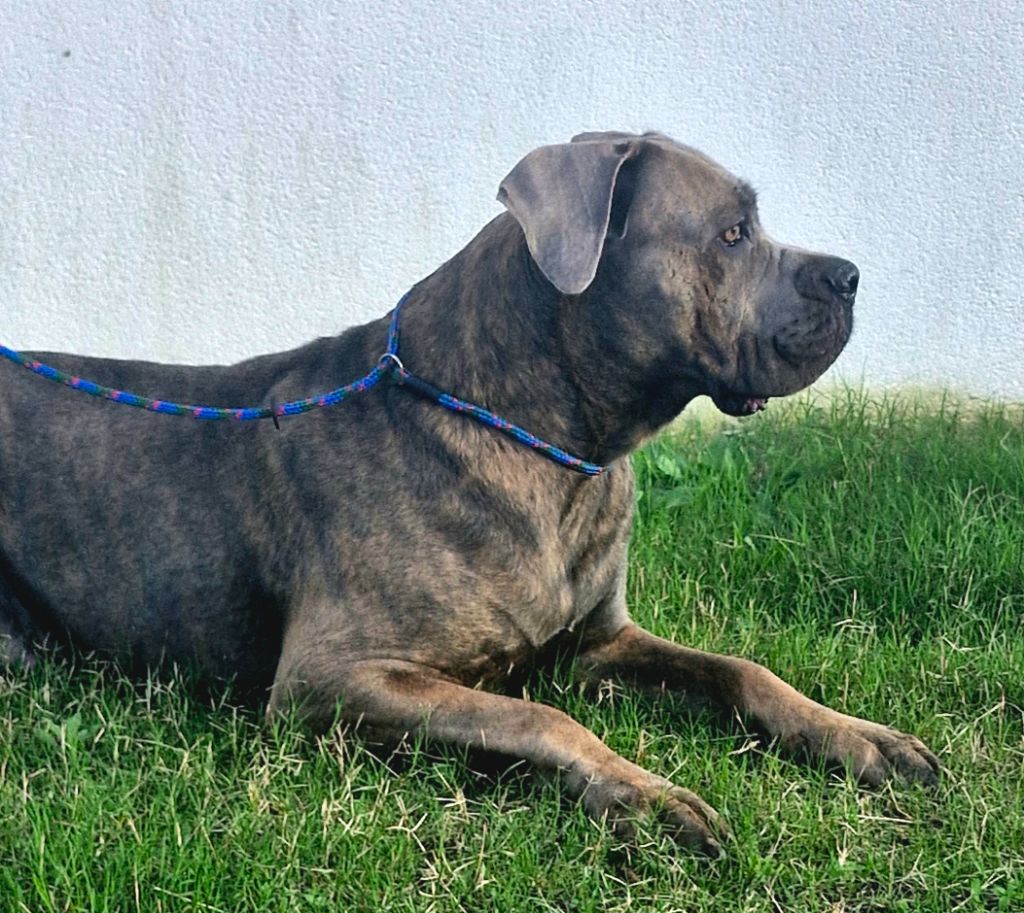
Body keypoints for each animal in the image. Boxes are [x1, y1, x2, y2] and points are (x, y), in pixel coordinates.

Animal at [0, 131, 938, 855]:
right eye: (733, 234)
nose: (850, 275)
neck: (553, 450)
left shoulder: (597, 642)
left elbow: (740, 668)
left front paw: (858, 736)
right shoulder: (329, 678)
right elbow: (540, 720)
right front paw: (645, 795)